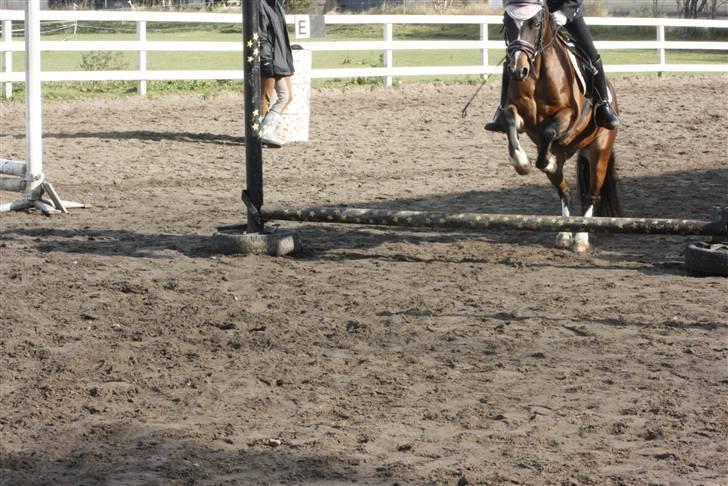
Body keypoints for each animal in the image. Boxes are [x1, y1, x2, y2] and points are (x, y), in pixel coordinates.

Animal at [500, 0, 624, 251]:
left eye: (536, 23)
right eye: (506, 22)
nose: (517, 70)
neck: (537, 71)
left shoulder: (569, 115)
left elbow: (549, 129)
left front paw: (543, 162)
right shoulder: (523, 119)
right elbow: (509, 119)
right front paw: (521, 162)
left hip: (599, 153)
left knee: (591, 195)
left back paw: (581, 239)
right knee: (564, 191)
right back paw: (565, 233)